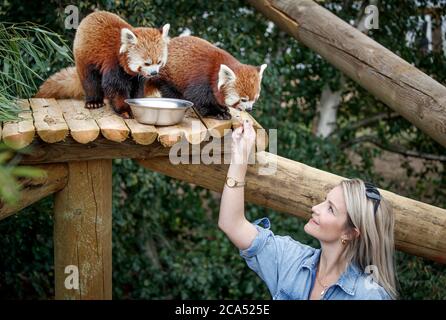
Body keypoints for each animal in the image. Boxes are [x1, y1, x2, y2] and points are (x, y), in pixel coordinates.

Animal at [34, 11, 170, 119]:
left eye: (159, 62)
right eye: (147, 63)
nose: (154, 73)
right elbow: (115, 88)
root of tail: (91, 15)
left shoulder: (137, 77)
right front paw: (125, 110)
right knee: (90, 80)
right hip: (85, 57)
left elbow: (138, 89)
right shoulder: (113, 64)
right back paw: (94, 101)